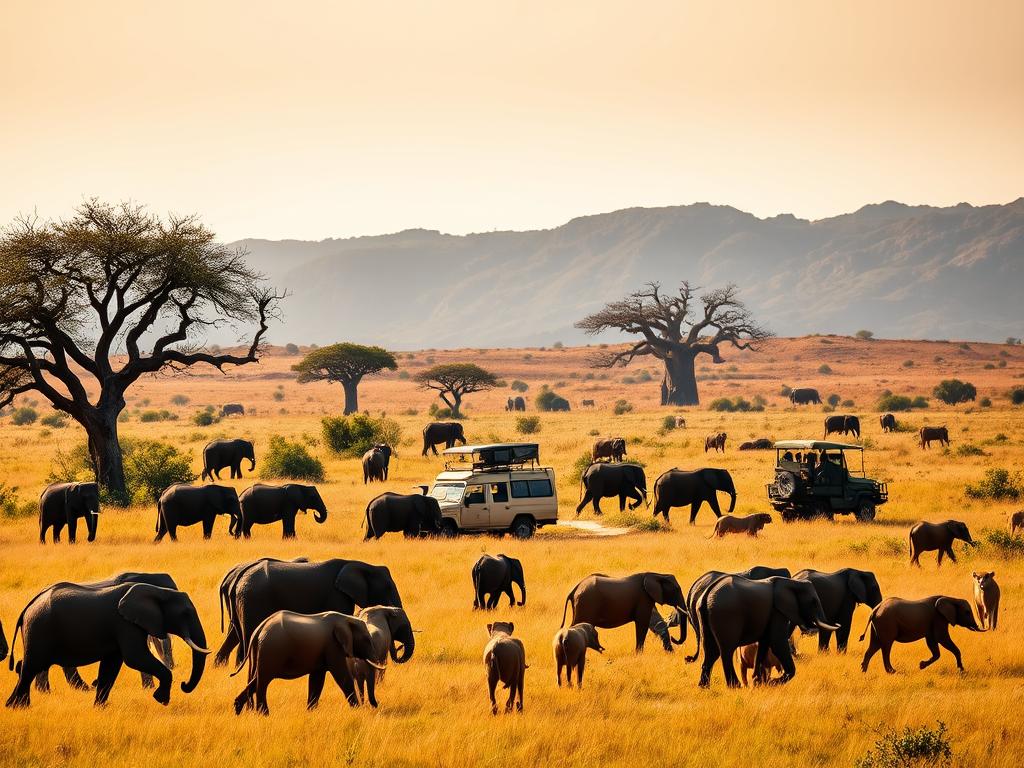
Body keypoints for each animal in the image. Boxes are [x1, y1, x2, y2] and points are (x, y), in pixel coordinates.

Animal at [231, 610, 383, 715]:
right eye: (366, 640)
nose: (376, 705)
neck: (347, 618)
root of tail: (259, 629)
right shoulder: (333, 647)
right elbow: (342, 677)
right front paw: (357, 710)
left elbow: (317, 679)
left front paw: (311, 711)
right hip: (271, 649)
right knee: (263, 680)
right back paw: (264, 714)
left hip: (263, 651)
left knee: (257, 678)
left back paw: (238, 709)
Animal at [696, 575, 839, 687]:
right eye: (813, 602)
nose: (838, 624)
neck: (791, 582)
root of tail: (707, 593)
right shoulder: (777, 611)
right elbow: (777, 643)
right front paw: (772, 682)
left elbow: (764, 643)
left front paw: (758, 681)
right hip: (726, 615)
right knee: (726, 650)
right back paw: (734, 686)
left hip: (705, 615)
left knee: (711, 651)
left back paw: (704, 687)